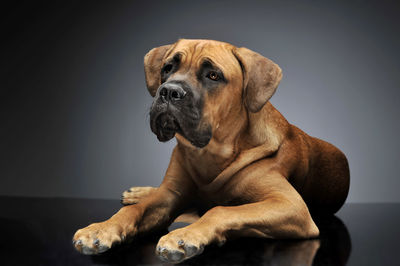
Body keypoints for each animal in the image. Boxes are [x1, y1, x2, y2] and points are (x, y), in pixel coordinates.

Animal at [72, 38, 350, 262]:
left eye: (213, 75)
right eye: (167, 68)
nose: (169, 91)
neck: (210, 153)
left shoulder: (290, 206)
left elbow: (220, 210)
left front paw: (186, 235)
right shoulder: (170, 195)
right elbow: (133, 210)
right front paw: (101, 229)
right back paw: (138, 193)